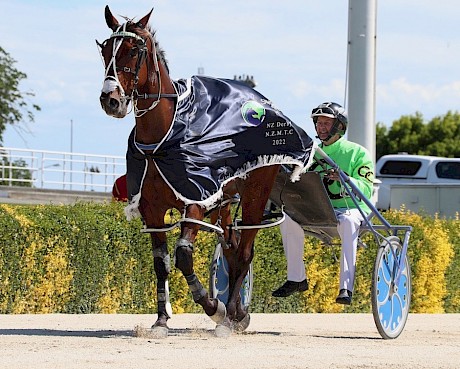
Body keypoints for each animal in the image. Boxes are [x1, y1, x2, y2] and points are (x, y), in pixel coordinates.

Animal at [96, 5, 312, 334]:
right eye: (105, 50)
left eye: (133, 50)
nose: (111, 99)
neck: (166, 136)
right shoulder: (152, 209)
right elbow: (161, 263)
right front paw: (161, 320)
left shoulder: (195, 199)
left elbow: (184, 256)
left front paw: (214, 308)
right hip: (225, 202)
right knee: (232, 249)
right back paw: (238, 312)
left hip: (256, 191)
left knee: (245, 251)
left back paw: (230, 314)